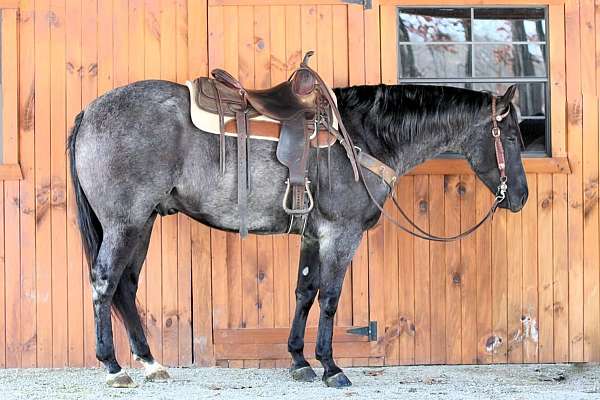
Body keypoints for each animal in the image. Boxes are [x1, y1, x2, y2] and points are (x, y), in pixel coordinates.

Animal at [68, 80, 528, 388]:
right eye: (509, 135)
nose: (519, 197)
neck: (361, 137)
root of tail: (89, 111)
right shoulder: (341, 234)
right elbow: (330, 298)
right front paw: (331, 367)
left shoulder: (312, 237)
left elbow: (305, 293)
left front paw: (299, 361)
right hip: (124, 223)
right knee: (105, 282)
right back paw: (113, 367)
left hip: (143, 223)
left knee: (126, 287)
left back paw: (149, 362)